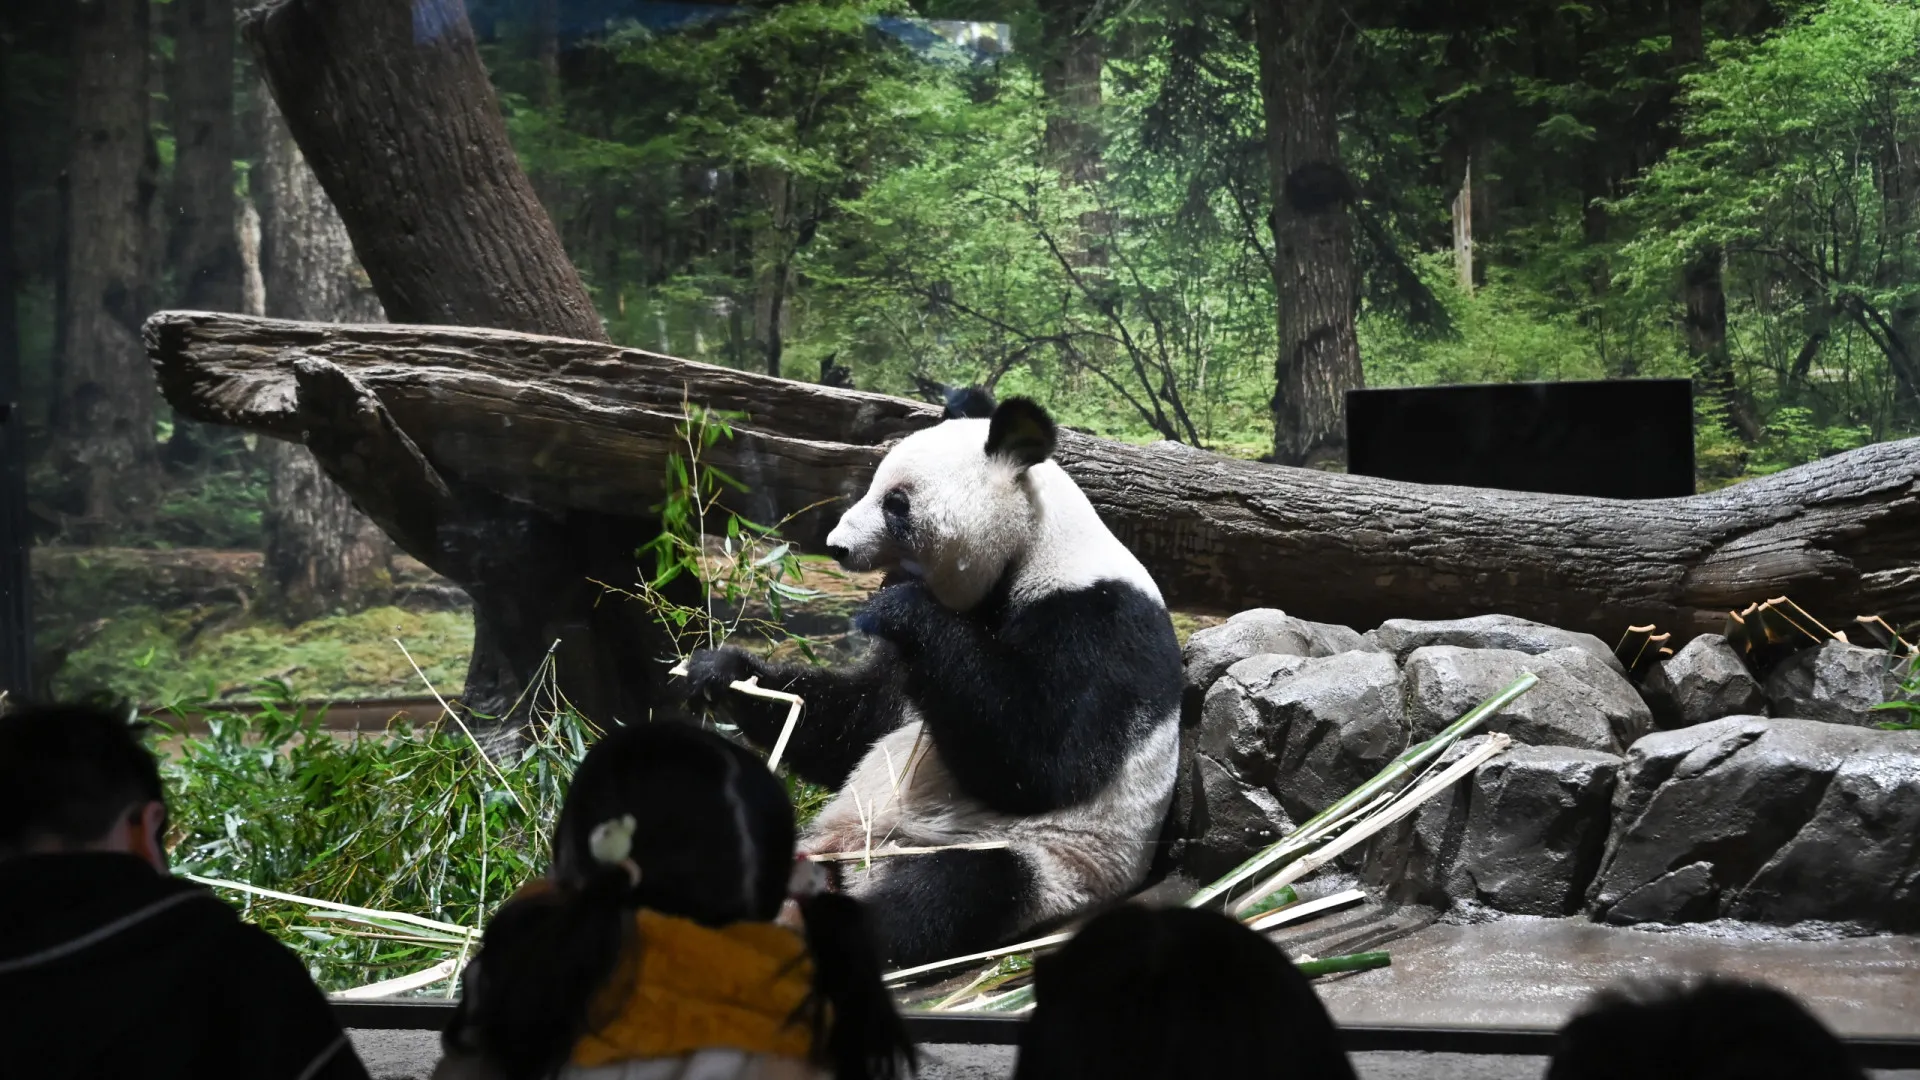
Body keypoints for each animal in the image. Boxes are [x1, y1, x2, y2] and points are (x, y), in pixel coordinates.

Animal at [681, 392, 1184, 968]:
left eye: (896, 502)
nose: (837, 546)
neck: (1032, 549)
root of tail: (847, 863)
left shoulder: (1099, 620)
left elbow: (1046, 761)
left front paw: (897, 605)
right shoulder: (913, 671)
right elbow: (856, 724)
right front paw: (720, 673)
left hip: (1046, 860)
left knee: (948, 892)